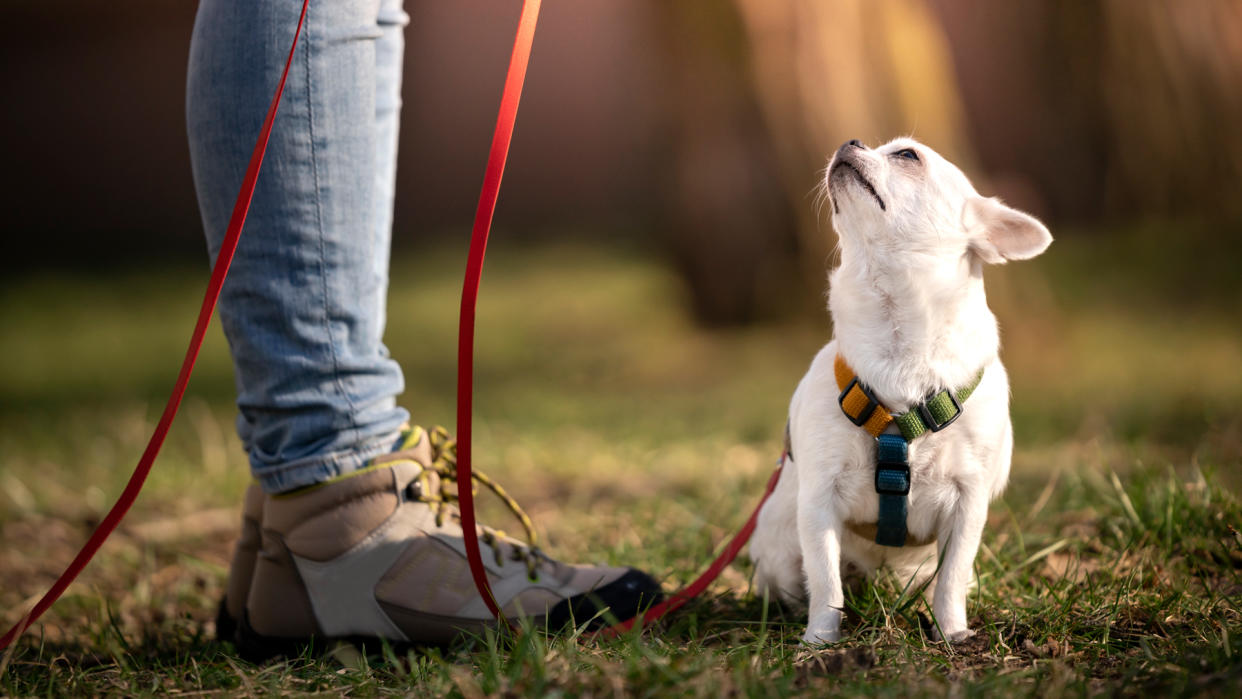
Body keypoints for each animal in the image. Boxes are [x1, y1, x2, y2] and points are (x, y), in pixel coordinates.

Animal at [745, 138, 1048, 645]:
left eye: (907, 155)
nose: (850, 141)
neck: (899, 347)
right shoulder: (819, 501)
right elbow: (824, 579)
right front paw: (820, 640)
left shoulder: (968, 502)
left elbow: (952, 577)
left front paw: (952, 633)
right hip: (780, 555)